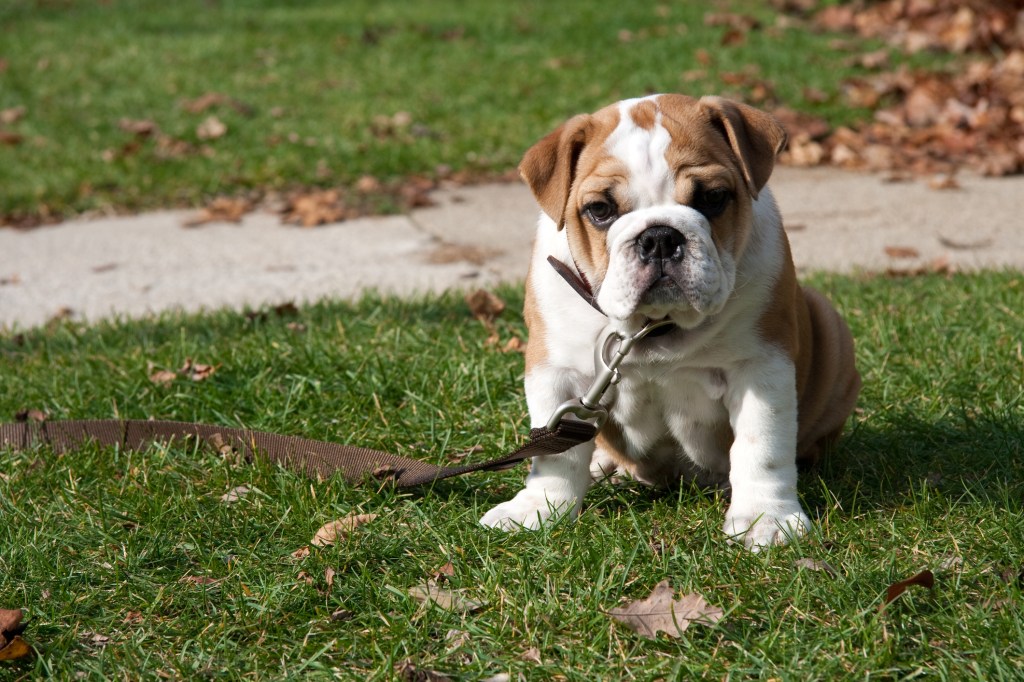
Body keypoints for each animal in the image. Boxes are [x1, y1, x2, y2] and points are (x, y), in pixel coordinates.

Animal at [477, 94, 856, 548]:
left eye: (713, 197)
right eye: (600, 210)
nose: (659, 237)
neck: (652, 326)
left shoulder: (762, 367)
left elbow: (761, 446)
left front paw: (766, 518)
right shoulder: (557, 372)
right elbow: (556, 454)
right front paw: (539, 509)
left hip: (830, 325)